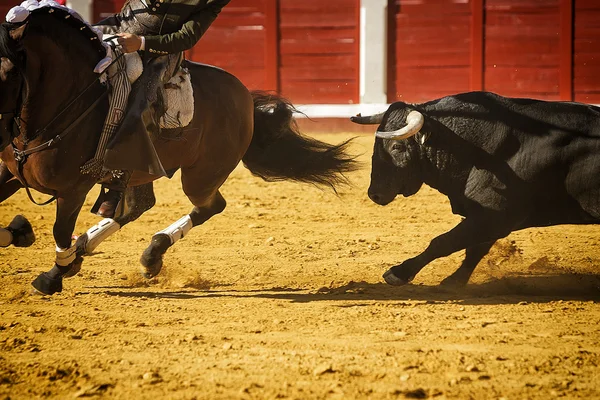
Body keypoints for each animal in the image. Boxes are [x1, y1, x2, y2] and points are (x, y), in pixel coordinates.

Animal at [0, 6, 356, 294]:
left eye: (7, 70)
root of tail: (243, 96)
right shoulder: (9, 173)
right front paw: (21, 233)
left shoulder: (74, 187)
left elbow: (60, 229)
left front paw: (51, 276)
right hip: (140, 168)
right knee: (137, 206)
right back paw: (89, 249)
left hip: (201, 175)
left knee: (209, 205)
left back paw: (149, 254)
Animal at [354, 91, 600, 284]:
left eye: (397, 146)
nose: (374, 194)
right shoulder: (491, 216)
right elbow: (475, 248)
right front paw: (455, 281)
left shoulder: (496, 214)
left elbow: (444, 241)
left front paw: (399, 273)